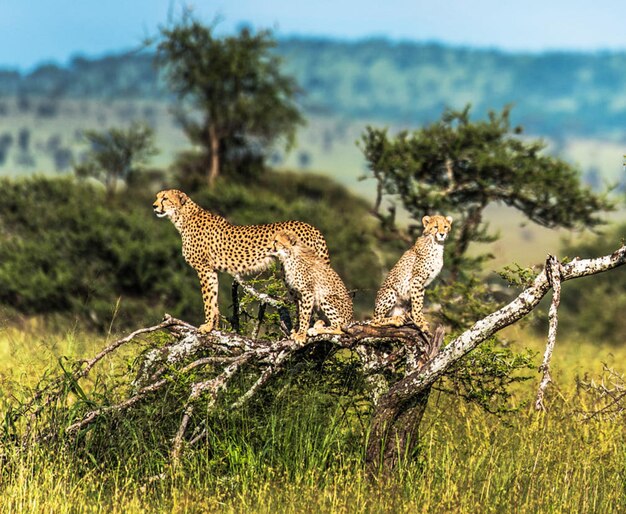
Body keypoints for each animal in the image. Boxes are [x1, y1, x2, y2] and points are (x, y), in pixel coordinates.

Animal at [153, 188, 330, 332]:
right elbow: (213, 298)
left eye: (165, 198)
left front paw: (207, 326)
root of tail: (311, 227)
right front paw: (214, 326)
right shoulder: (211, 270)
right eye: (157, 197)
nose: (154, 206)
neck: (182, 217)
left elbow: (207, 299)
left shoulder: (203, 268)